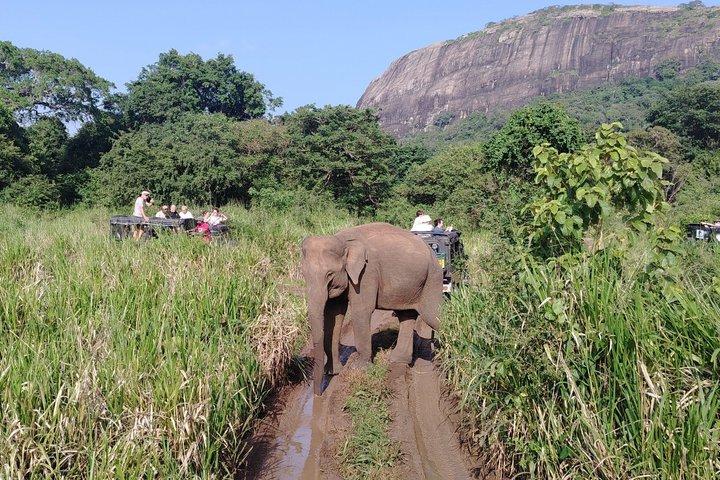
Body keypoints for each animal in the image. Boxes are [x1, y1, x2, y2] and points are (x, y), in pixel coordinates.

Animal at [300, 222, 443, 395]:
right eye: (303, 274)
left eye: (329, 274)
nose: (318, 394)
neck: (343, 241)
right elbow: (334, 314)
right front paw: (333, 372)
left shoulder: (367, 273)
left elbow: (360, 312)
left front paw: (359, 369)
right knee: (407, 316)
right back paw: (398, 361)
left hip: (432, 278)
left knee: (433, 315)